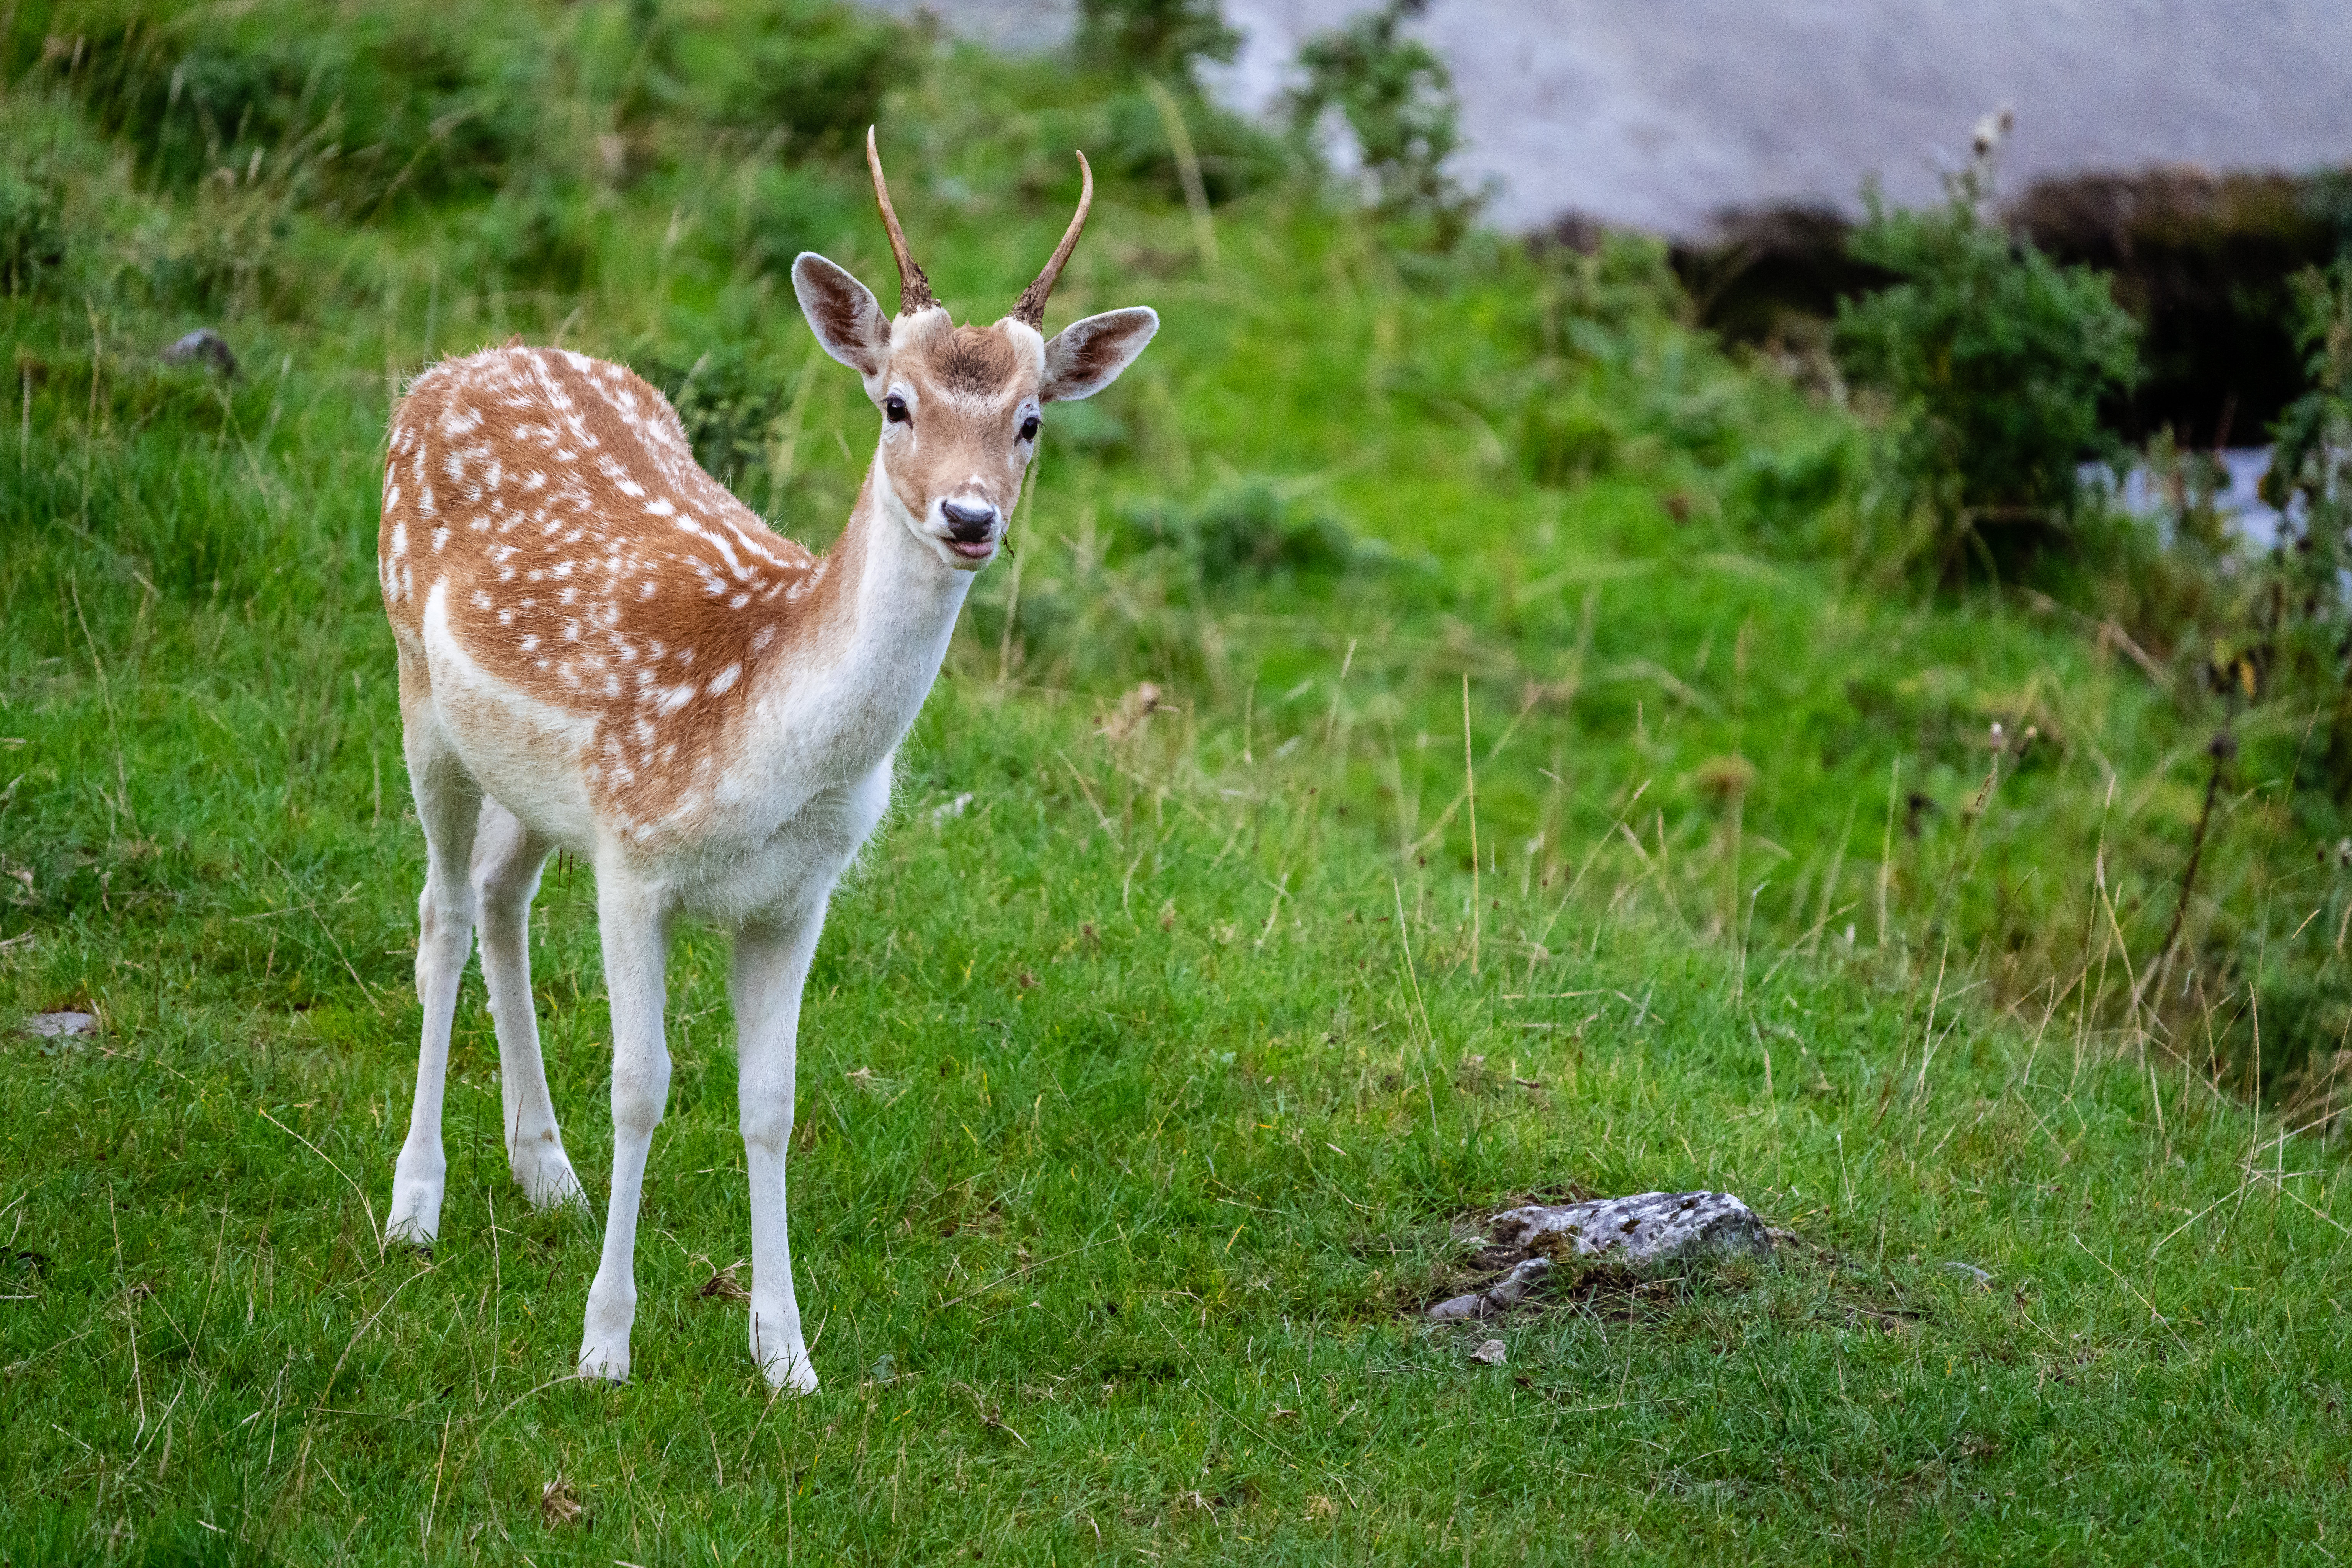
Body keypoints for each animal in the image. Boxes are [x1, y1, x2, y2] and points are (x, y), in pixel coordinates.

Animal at [371, 129, 1162, 1392]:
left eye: (1033, 420)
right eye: (894, 402)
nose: (969, 517)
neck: (762, 744)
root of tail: (454, 366)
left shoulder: (797, 895)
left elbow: (772, 1101)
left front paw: (786, 1355)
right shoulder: (636, 857)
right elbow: (641, 1086)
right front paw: (605, 1346)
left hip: (535, 788)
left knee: (497, 895)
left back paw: (545, 1171)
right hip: (418, 693)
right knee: (440, 915)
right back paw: (416, 1204)